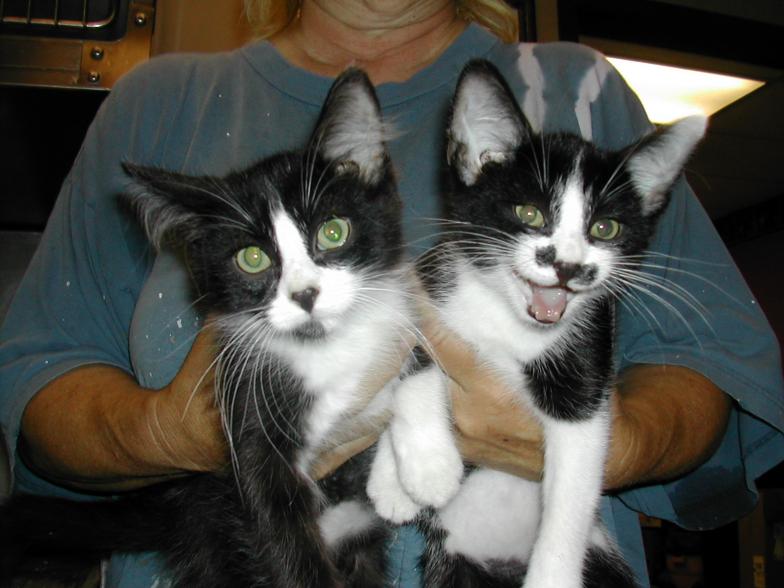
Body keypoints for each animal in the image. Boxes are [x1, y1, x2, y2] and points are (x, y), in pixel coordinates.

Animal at [0, 68, 416, 588]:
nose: (305, 295)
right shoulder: (248, 419)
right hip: (215, 537)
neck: (324, 350)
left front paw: (401, 479)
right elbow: (282, 536)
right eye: (252, 259)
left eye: (333, 232)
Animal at [370, 60, 708, 588]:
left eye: (604, 228)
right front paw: (414, 471)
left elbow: (572, 489)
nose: (567, 266)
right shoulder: (427, 284)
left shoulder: (587, 371)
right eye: (529, 213)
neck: (505, 316)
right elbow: (414, 358)